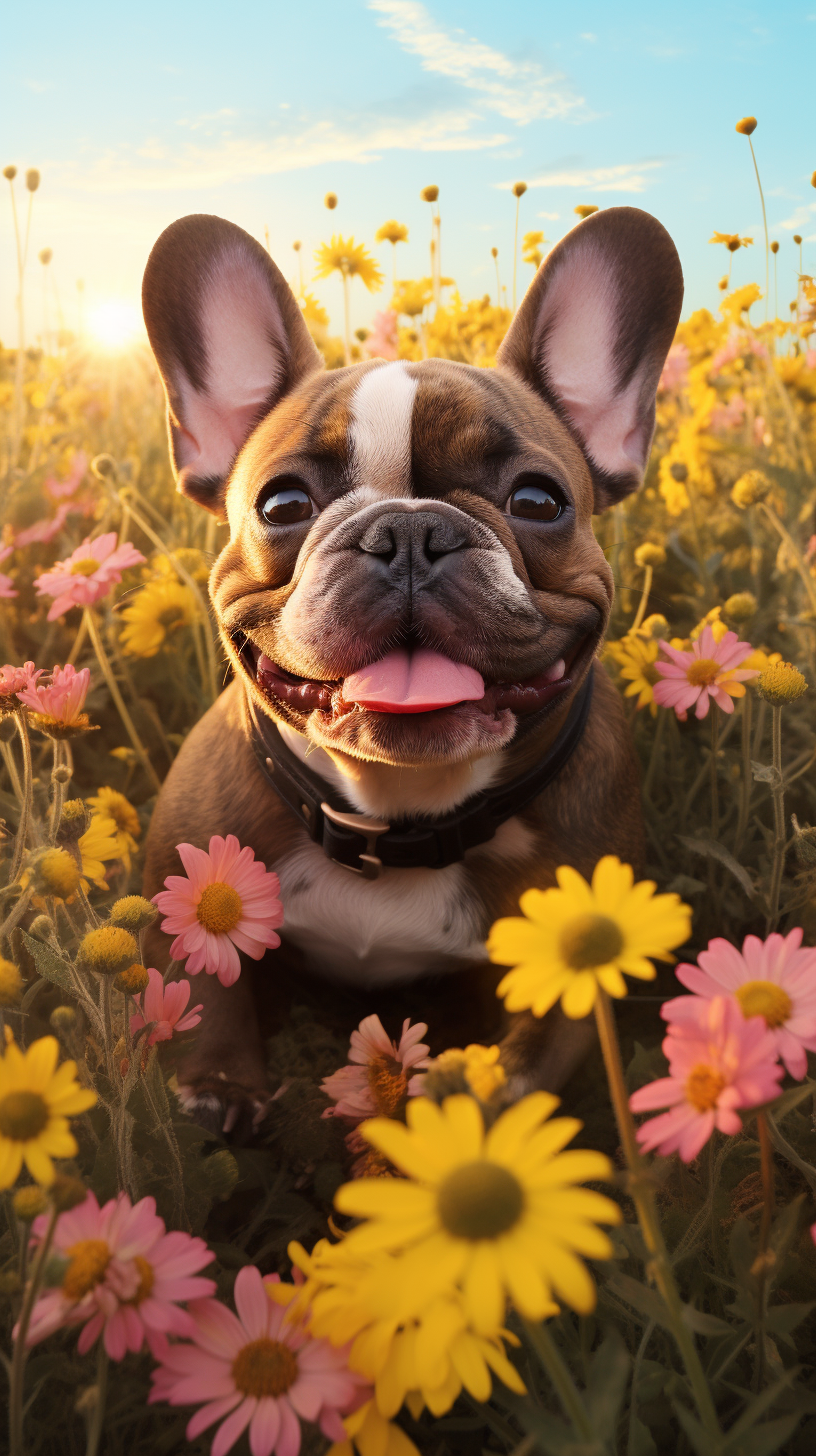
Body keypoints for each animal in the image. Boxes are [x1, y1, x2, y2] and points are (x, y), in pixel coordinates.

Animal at [138, 208, 681, 1135]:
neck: (397, 817)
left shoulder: (569, 990)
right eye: (283, 504)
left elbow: (521, 1069)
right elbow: (208, 984)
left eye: (538, 501)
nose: (410, 532)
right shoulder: (184, 881)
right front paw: (220, 1086)